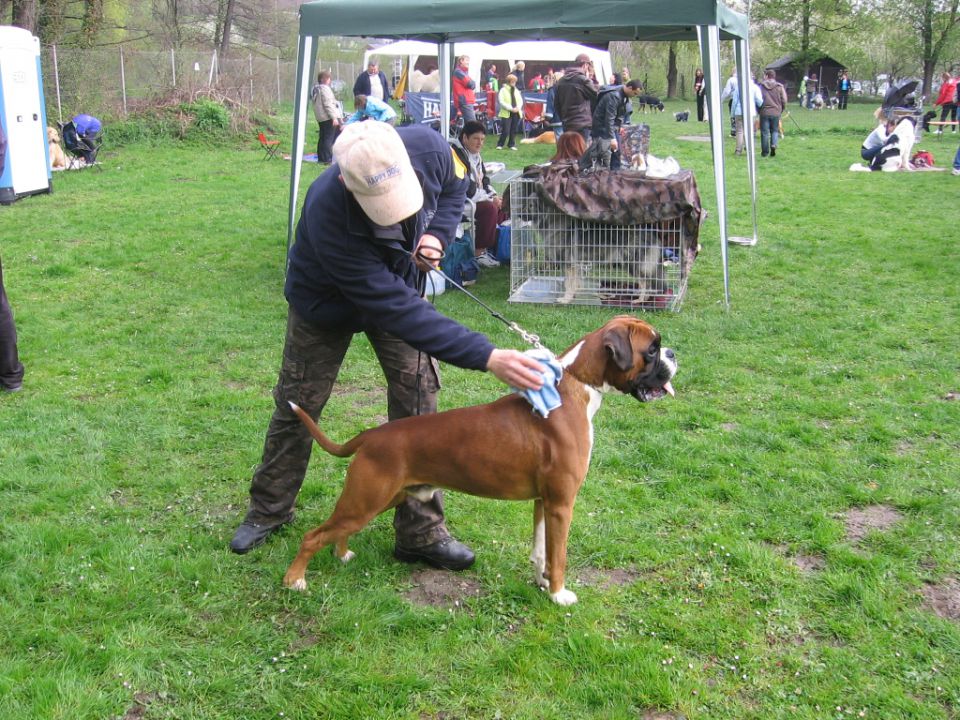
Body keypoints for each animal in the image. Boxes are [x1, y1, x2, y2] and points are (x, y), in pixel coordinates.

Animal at [282, 318, 680, 604]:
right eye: (652, 349)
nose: (674, 352)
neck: (575, 386)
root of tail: (371, 434)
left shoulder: (544, 502)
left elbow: (541, 551)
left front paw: (541, 582)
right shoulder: (562, 504)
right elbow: (560, 554)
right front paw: (558, 595)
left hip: (380, 500)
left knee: (339, 530)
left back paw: (342, 555)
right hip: (365, 500)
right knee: (313, 535)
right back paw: (294, 580)